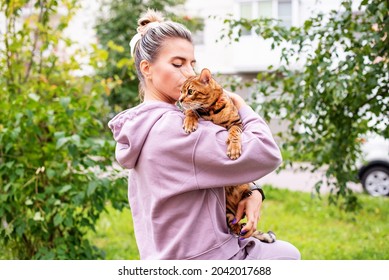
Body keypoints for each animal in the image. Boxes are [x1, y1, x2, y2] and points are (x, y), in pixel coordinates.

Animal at [177, 68, 274, 243]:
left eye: (190, 91)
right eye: (181, 91)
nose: (179, 100)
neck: (211, 110)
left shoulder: (237, 123)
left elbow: (234, 132)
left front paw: (234, 148)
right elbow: (191, 111)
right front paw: (189, 121)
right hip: (227, 210)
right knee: (233, 224)